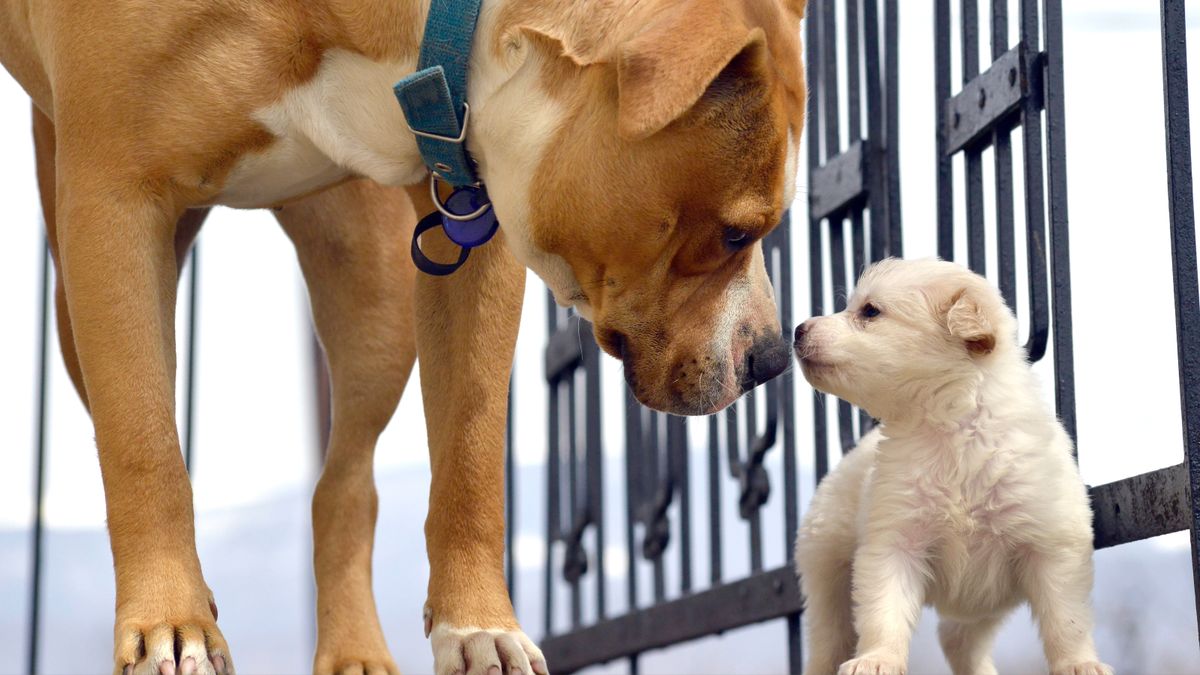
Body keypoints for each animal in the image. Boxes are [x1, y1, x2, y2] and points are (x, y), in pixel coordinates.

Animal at [2, 0, 806, 667]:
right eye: (736, 232)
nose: (772, 357)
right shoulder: (112, 204)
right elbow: (144, 445)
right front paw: (172, 621)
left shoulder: (473, 212)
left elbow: (471, 446)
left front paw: (479, 627)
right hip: (79, 299)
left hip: (371, 297)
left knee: (345, 482)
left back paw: (353, 651)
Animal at [792, 258, 1108, 672]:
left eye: (870, 311)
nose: (797, 329)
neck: (950, 429)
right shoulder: (893, 541)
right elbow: (883, 612)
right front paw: (877, 659)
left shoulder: (1052, 545)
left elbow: (1066, 619)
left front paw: (1079, 663)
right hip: (826, 567)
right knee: (829, 640)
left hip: (984, 601)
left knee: (959, 639)